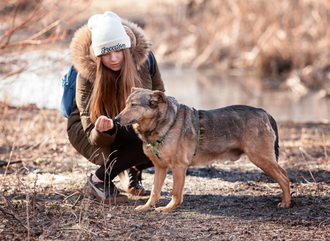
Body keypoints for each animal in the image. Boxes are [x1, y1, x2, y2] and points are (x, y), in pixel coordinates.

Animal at [114, 87, 290, 212]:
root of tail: (265, 112)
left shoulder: (179, 167)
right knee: (284, 173)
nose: (115, 119)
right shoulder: (160, 167)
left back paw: (286, 202)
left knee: (284, 178)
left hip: (260, 158)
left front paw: (169, 209)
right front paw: (147, 207)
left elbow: (176, 194)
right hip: (266, 159)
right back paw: (283, 196)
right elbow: (154, 191)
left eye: (133, 105)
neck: (165, 124)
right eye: (126, 104)